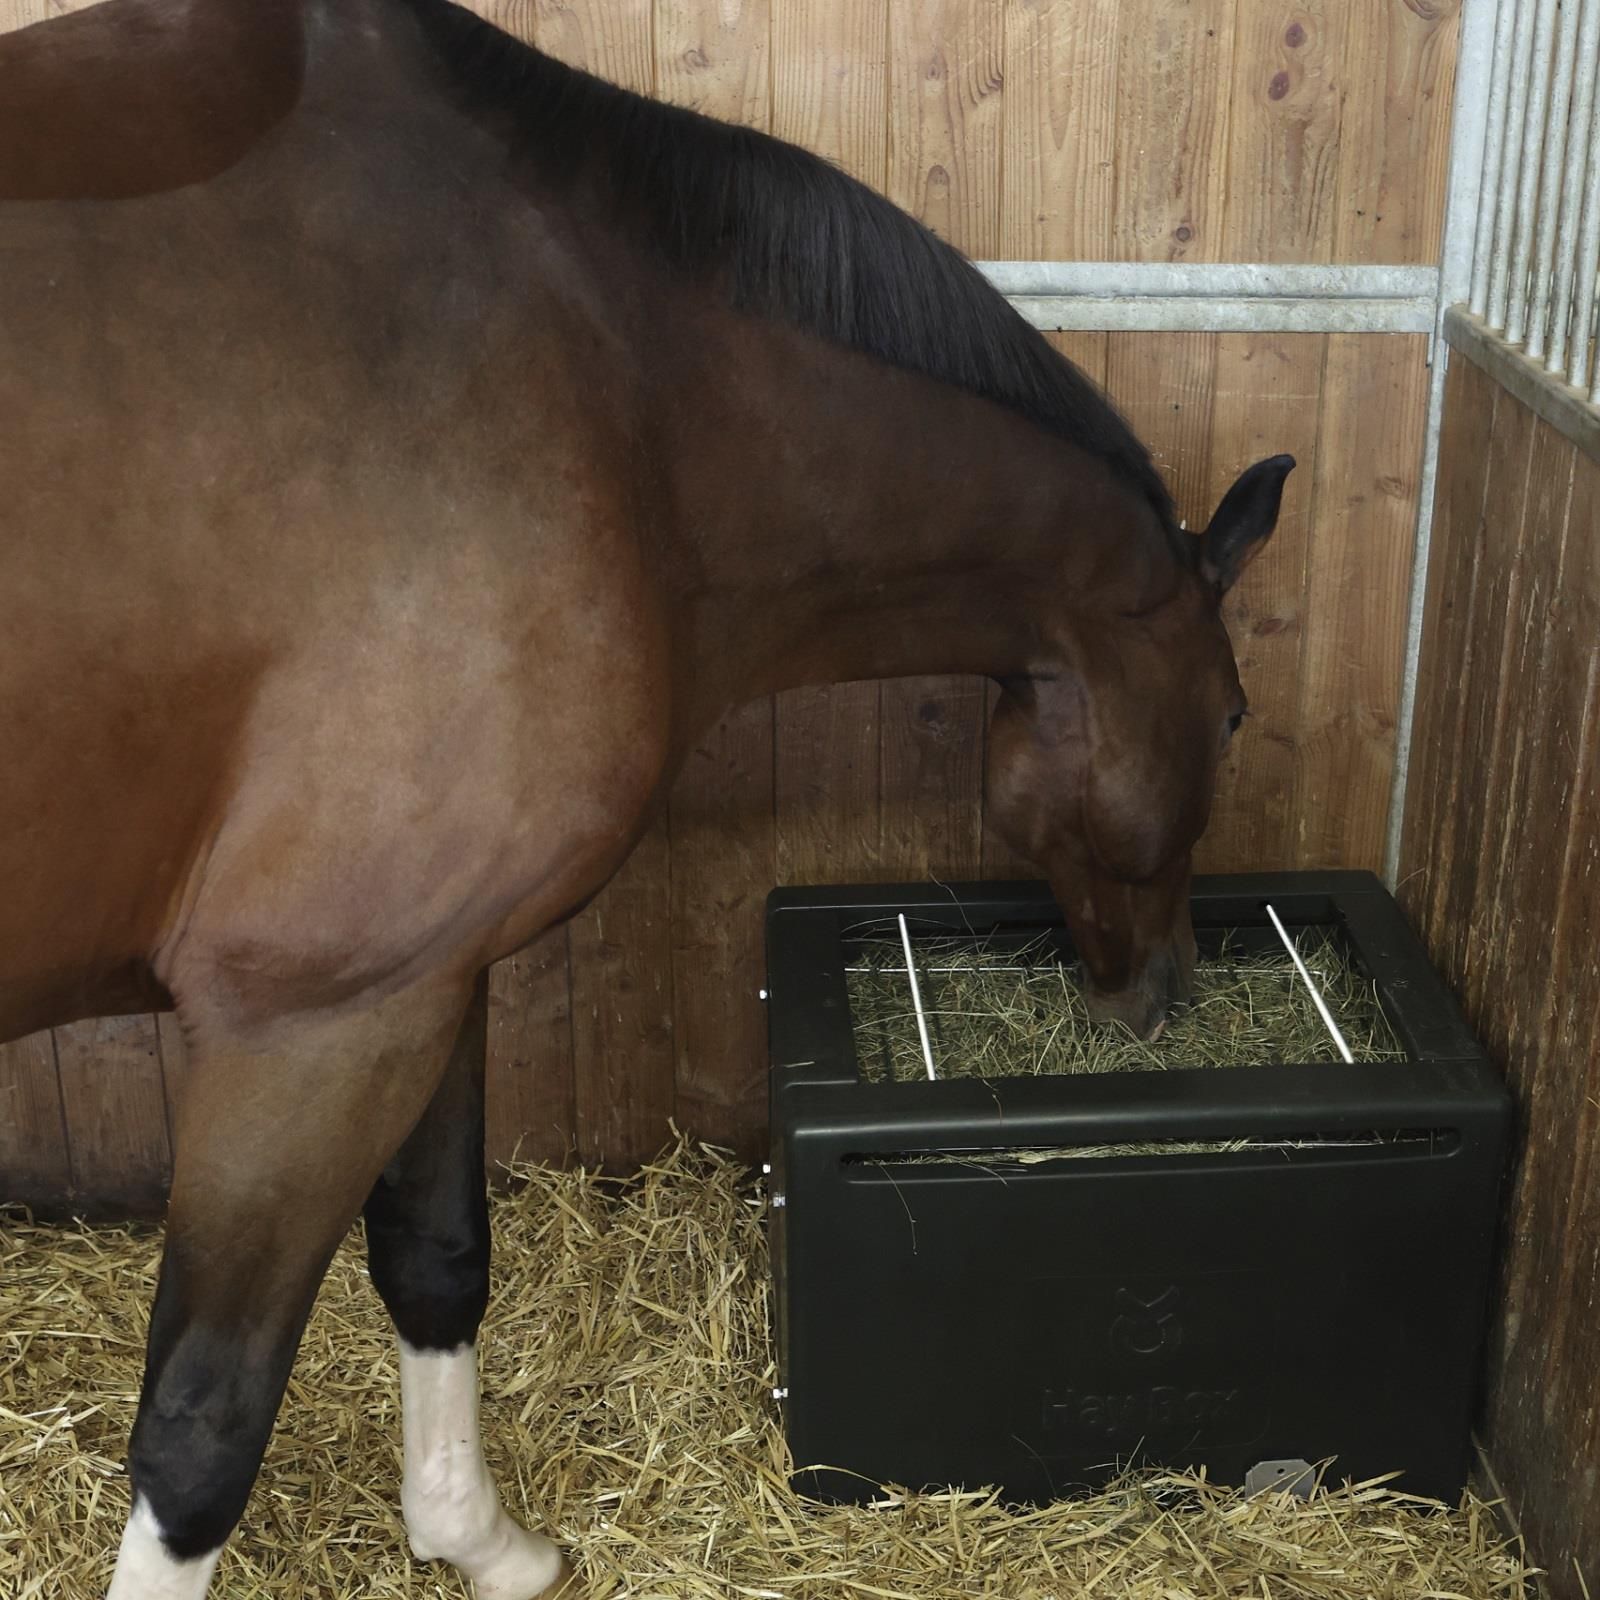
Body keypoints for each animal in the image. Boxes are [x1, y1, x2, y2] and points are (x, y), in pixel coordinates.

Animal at [0, 1, 1292, 1594]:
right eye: (1231, 714)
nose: (1165, 991)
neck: (621, 393)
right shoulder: (307, 1024)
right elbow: (200, 1429)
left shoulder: (424, 983)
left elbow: (436, 1254)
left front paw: (478, 1541)